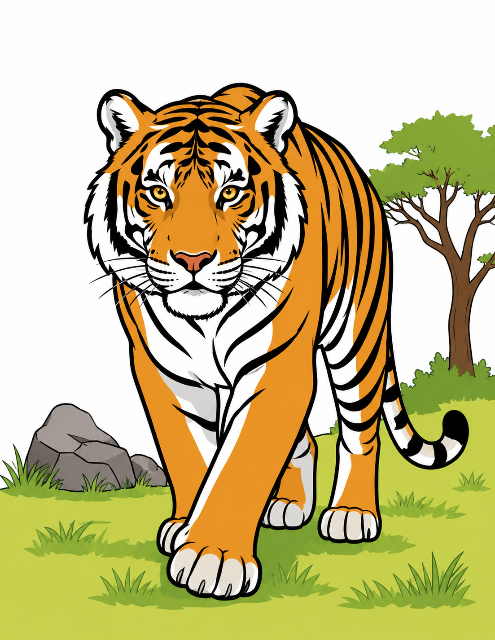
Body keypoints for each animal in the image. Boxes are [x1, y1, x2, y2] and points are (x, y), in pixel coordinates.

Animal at [85, 83, 469, 600]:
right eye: (158, 193)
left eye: (231, 192)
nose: (192, 259)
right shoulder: (163, 371)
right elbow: (191, 454)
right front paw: (186, 529)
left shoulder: (278, 363)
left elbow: (242, 457)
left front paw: (213, 558)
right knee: (305, 439)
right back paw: (288, 505)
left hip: (355, 338)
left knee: (360, 432)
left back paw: (351, 515)